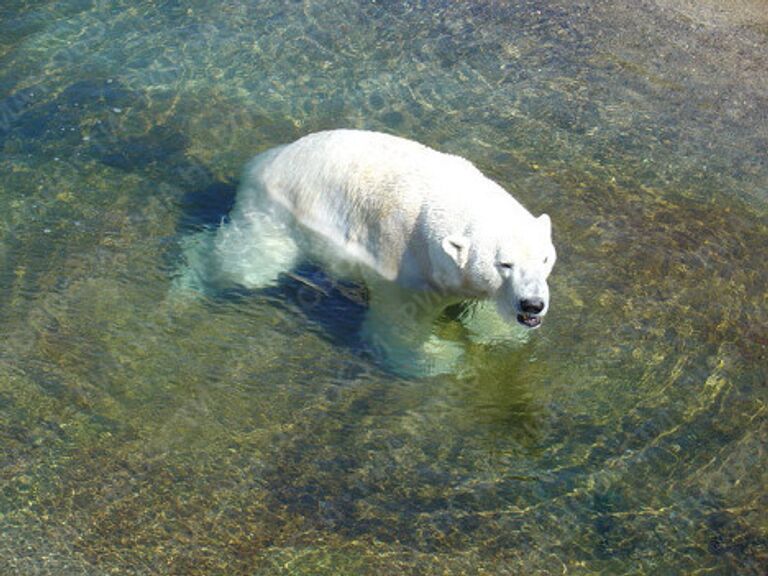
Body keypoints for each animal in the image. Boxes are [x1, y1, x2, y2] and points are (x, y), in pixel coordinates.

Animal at [183, 129, 556, 374]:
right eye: (504, 264)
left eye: (544, 258)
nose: (532, 304)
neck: (449, 200)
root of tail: (261, 162)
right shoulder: (406, 269)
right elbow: (397, 332)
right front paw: (448, 354)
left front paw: (499, 334)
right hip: (277, 214)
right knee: (246, 266)